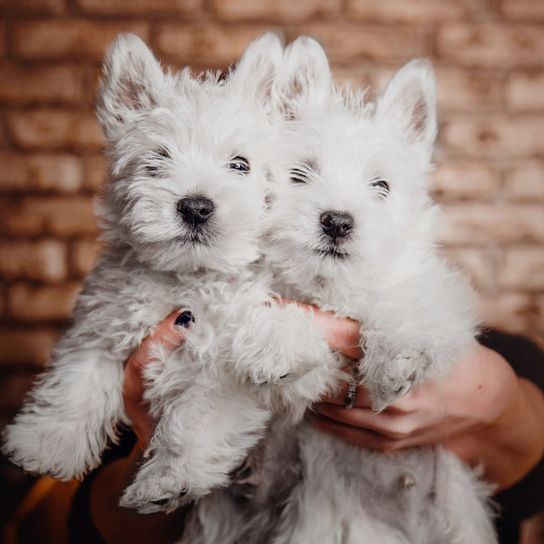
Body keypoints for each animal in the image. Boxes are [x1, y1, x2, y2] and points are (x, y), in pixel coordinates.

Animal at [2, 33, 338, 516]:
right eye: (156, 161)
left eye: (240, 164)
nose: (196, 207)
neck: (188, 277)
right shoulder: (105, 323)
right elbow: (77, 381)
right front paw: (48, 442)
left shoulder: (225, 369)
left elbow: (194, 421)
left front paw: (167, 479)